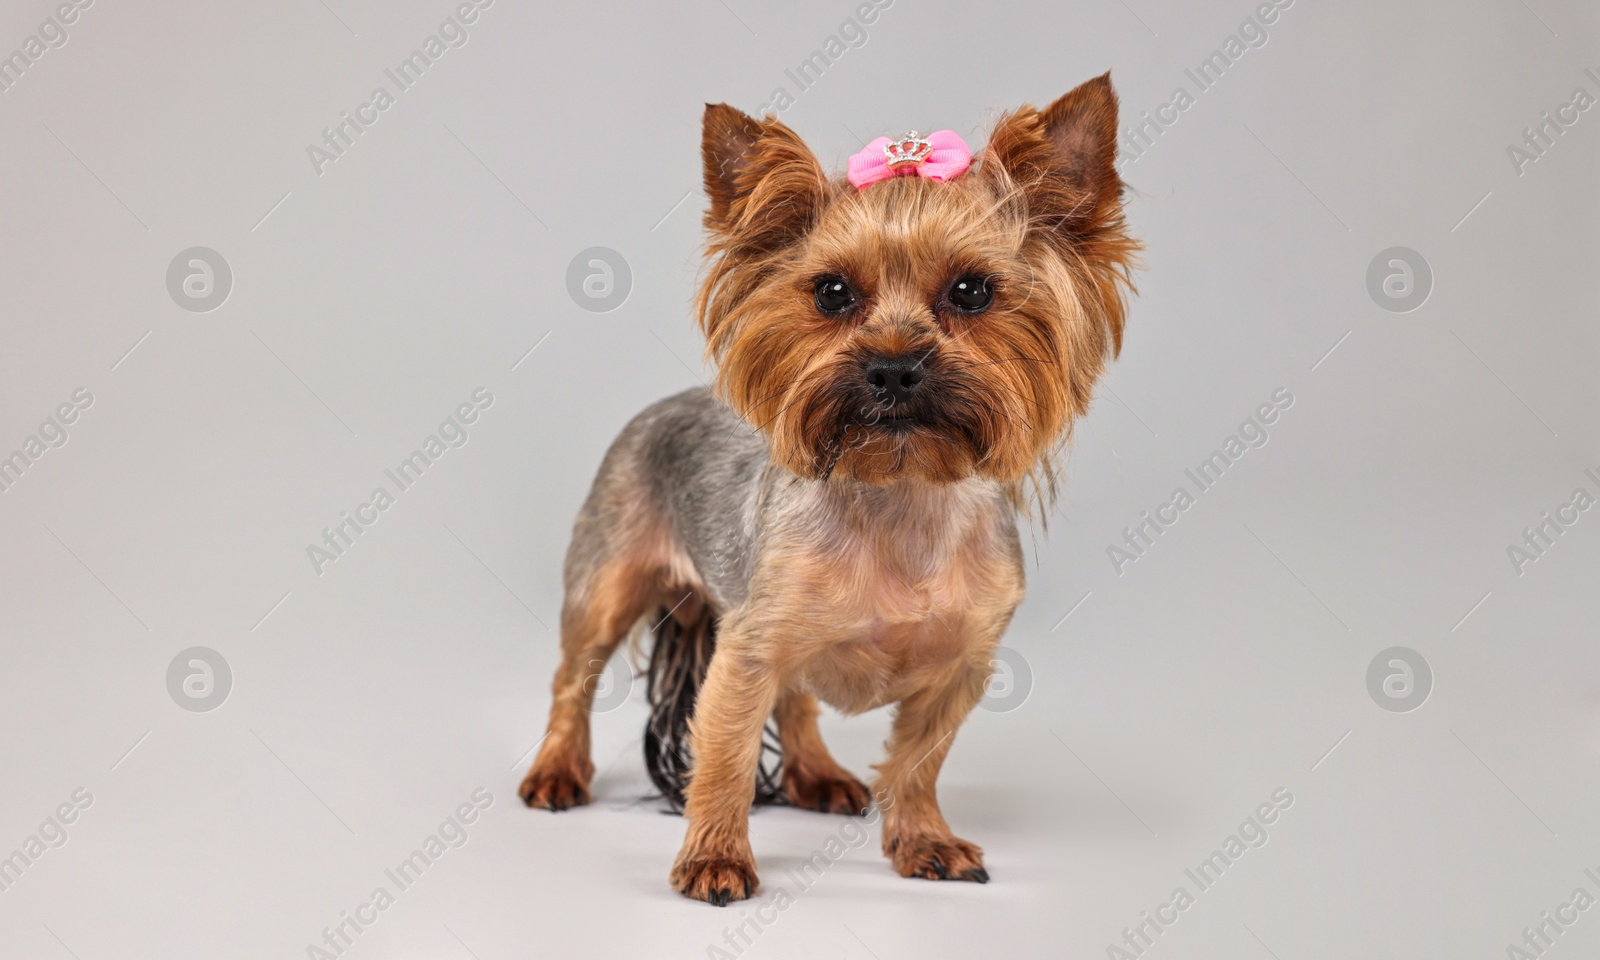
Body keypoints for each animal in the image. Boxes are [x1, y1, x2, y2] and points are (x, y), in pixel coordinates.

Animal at [518, 71, 1132, 902]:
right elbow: (725, 758)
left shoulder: (961, 668)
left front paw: (923, 840)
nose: (894, 368)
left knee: (799, 699)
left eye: (973, 291)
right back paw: (556, 770)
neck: (900, 488)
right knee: (573, 677)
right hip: (607, 578)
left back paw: (816, 774)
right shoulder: (747, 646)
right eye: (832, 292)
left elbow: (917, 762)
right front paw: (714, 857)